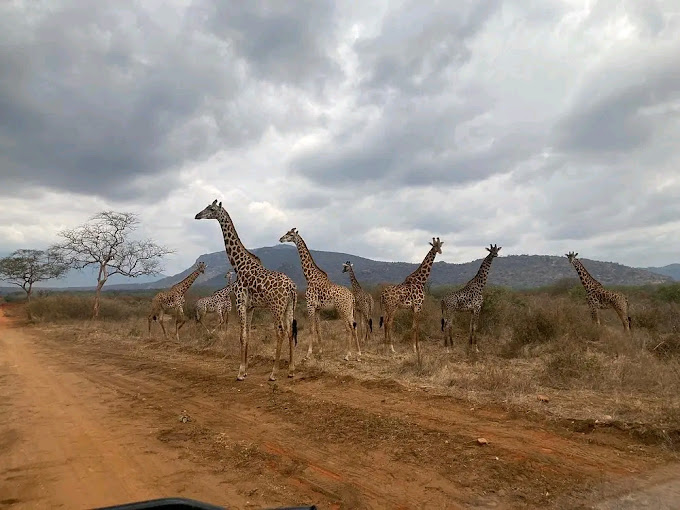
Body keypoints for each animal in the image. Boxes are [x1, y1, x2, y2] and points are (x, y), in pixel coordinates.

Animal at [193, 198, 296, 378]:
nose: (197, 215)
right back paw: (290, 370)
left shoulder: (240, 303)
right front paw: (245, 369)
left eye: (211, 209)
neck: (239, 266)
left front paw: (240, 372)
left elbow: (241, 336)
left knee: (280, 332)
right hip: (289, 306)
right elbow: (247, 334)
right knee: (290, 331)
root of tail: (291, 287)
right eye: (206, 206)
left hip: (276, 307)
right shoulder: (250, 306)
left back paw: (273, 373)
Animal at [278, 227, 362, 362]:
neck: (309, 277)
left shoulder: (310, 305)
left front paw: (308, 354)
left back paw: (347, 355)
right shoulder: (317, 308)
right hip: (350, 310)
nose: (280, 239)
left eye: (290, 234)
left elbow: (311, 329)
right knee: (354, 327)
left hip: (342, 310)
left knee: (348, 328)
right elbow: (318, 329)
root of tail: (352, 297)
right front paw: (320, 352)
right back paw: (358, 354)